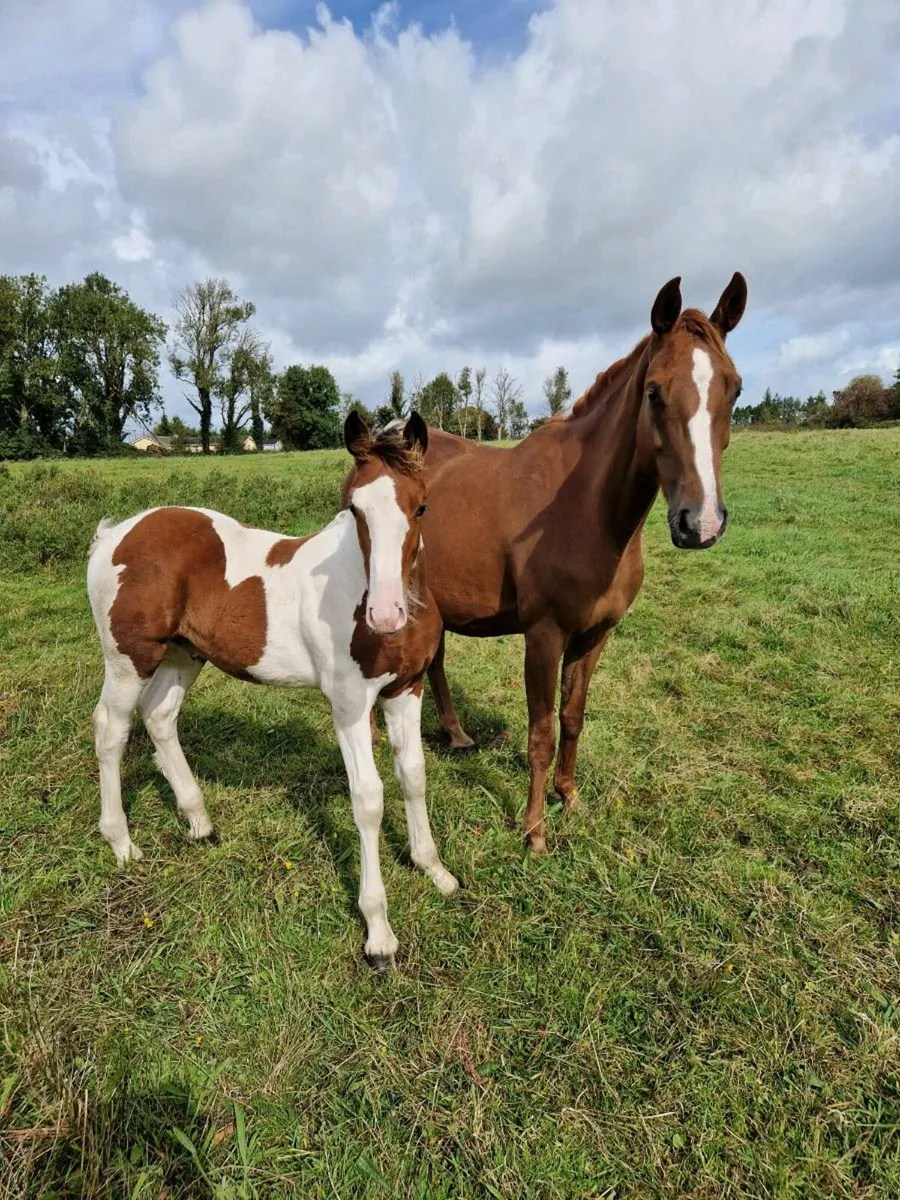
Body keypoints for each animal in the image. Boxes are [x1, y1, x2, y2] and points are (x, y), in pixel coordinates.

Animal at [86, 412, 457, 970]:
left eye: (422, 506)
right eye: (354, 507)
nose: (386, 613)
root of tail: (114, 535)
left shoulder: (405, 691)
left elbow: (413, 776)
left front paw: (433, 869)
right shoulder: (350, 704)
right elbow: (369, 799)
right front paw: (378, 934)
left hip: (183, 655)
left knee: (159, 717)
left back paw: (199, 823)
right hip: (130, 658)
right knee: (111, 728)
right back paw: (122, 843)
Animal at [354, 273, 747, 854]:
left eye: (735, 388)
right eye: (653, 391)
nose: (700, 523)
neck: (587, 509)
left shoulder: (595, 635)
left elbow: (572, 718)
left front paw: (570, 797)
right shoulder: (544, 636)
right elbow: (540, 731)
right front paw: (534, 829)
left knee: (437, 660)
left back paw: (456, 733)